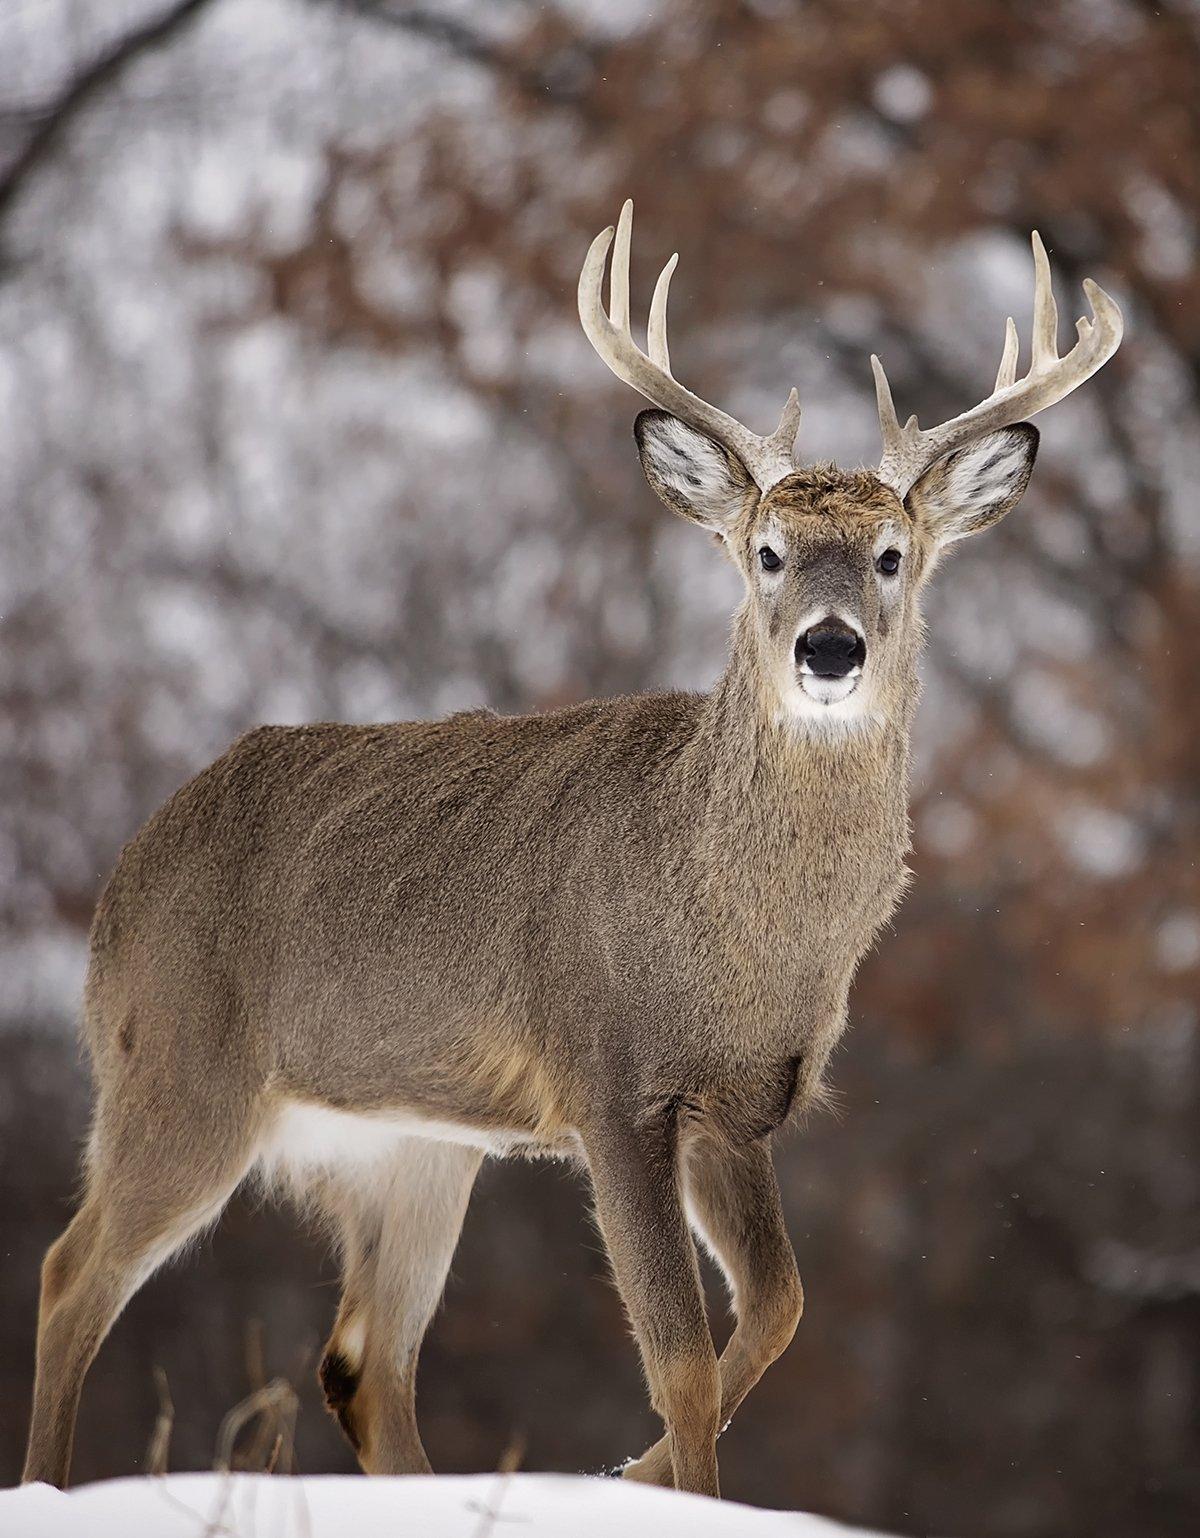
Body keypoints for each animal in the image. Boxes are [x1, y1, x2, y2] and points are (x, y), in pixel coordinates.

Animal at [23, 201, 1120, 1488]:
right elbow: (683, 1357)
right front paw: (660, 1480)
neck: (737, 929)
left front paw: (629, 1474)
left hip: (409, 1142)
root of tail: (125, 877)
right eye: (767, 552)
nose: (830, 648)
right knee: (71, 1274)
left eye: (893, 555)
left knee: (363, 1361)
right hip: (176, 1064)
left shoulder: (740, 1102)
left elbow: (779, 1307)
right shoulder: (611, 1075)